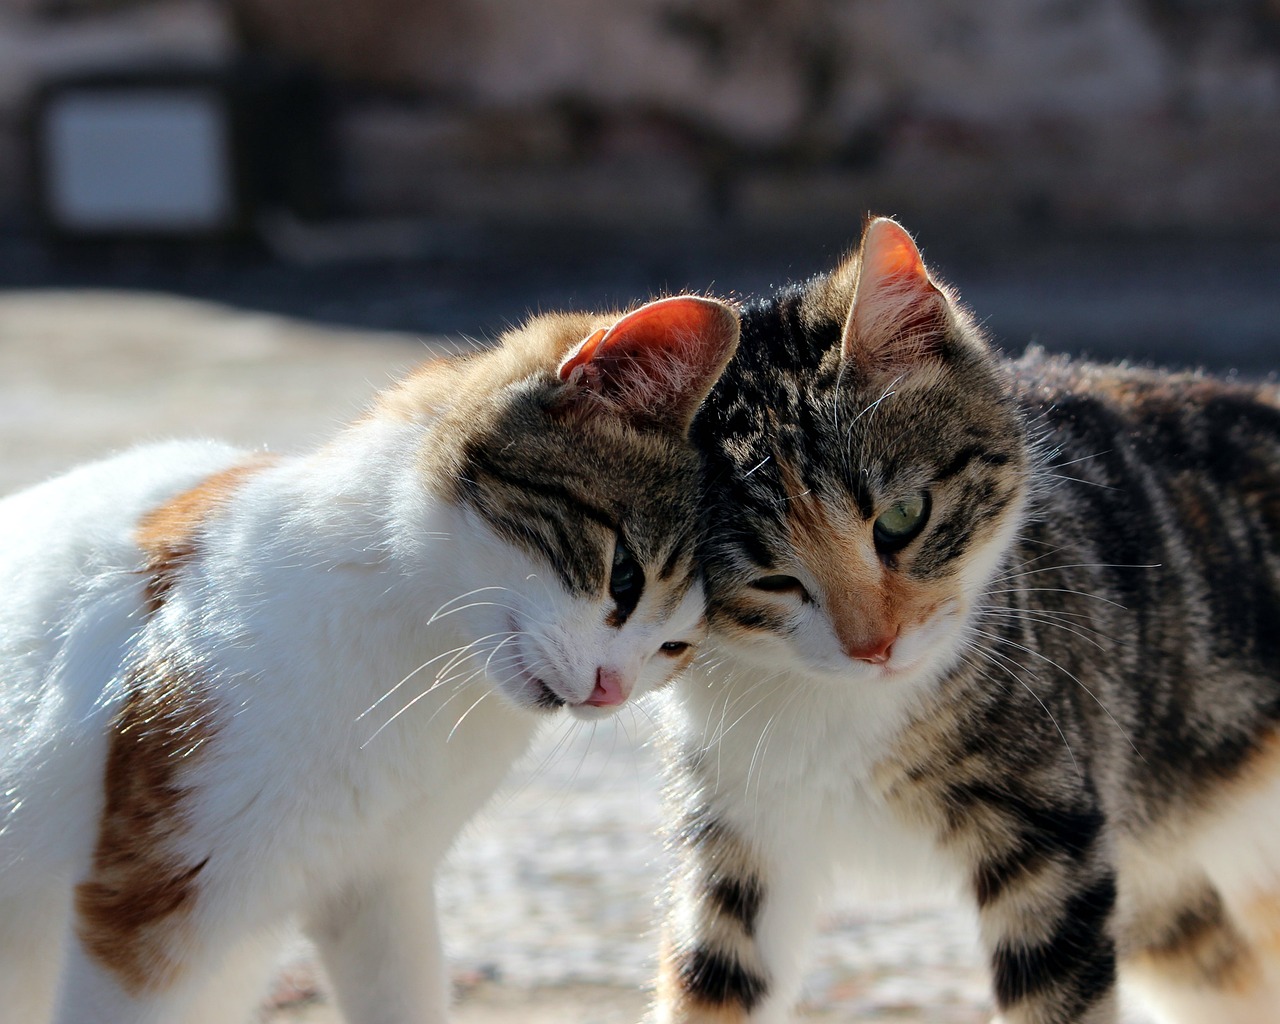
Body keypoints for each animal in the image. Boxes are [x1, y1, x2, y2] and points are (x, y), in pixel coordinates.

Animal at [0, 291, 742, 1018]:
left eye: (674, 647)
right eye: (625, 577)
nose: (610, 688)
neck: (424, 665)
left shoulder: (382, 886)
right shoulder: (150, 906)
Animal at [655, 220, 1280, 1024]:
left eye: (902, 517)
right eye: (770, 580)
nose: (875, 646)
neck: (833, 711)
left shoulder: (1046, 832)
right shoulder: (740, 832)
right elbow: (713, 982)